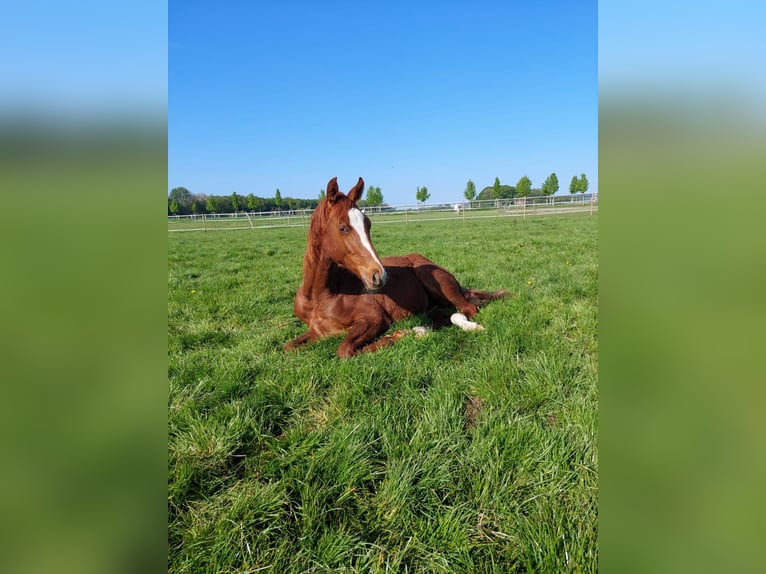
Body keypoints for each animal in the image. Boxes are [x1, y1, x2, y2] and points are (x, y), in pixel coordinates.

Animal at [284, 178, 510, 358]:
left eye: (368, 224)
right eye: (342, 227)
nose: (379, 275)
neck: (321, 297)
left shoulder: (375, 319)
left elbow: (345, 350)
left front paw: (401, 334)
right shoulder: (316, 331)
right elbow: (288, 346)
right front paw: (412, 332)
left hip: (433, 279)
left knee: (468, 308)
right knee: (447, 315)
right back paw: (422, 328)